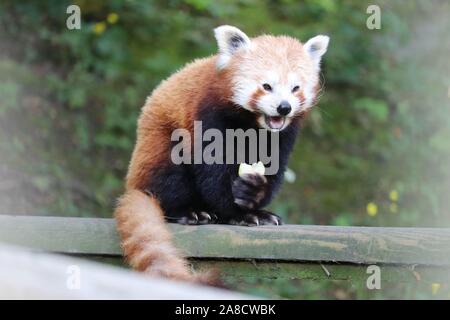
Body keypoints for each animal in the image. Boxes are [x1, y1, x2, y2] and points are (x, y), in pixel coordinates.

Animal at [114, 25, 328, 284]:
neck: (253, 123)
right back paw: (188, 211)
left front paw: (254, 199)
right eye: (267, 86)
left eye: (295, 88)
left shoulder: (284, 135)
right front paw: (239, 214)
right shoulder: (210, 114)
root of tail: (134, 183)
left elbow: (273, 167)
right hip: (160, 145)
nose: (284, 107)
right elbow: (213, 172)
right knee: (169, 178)